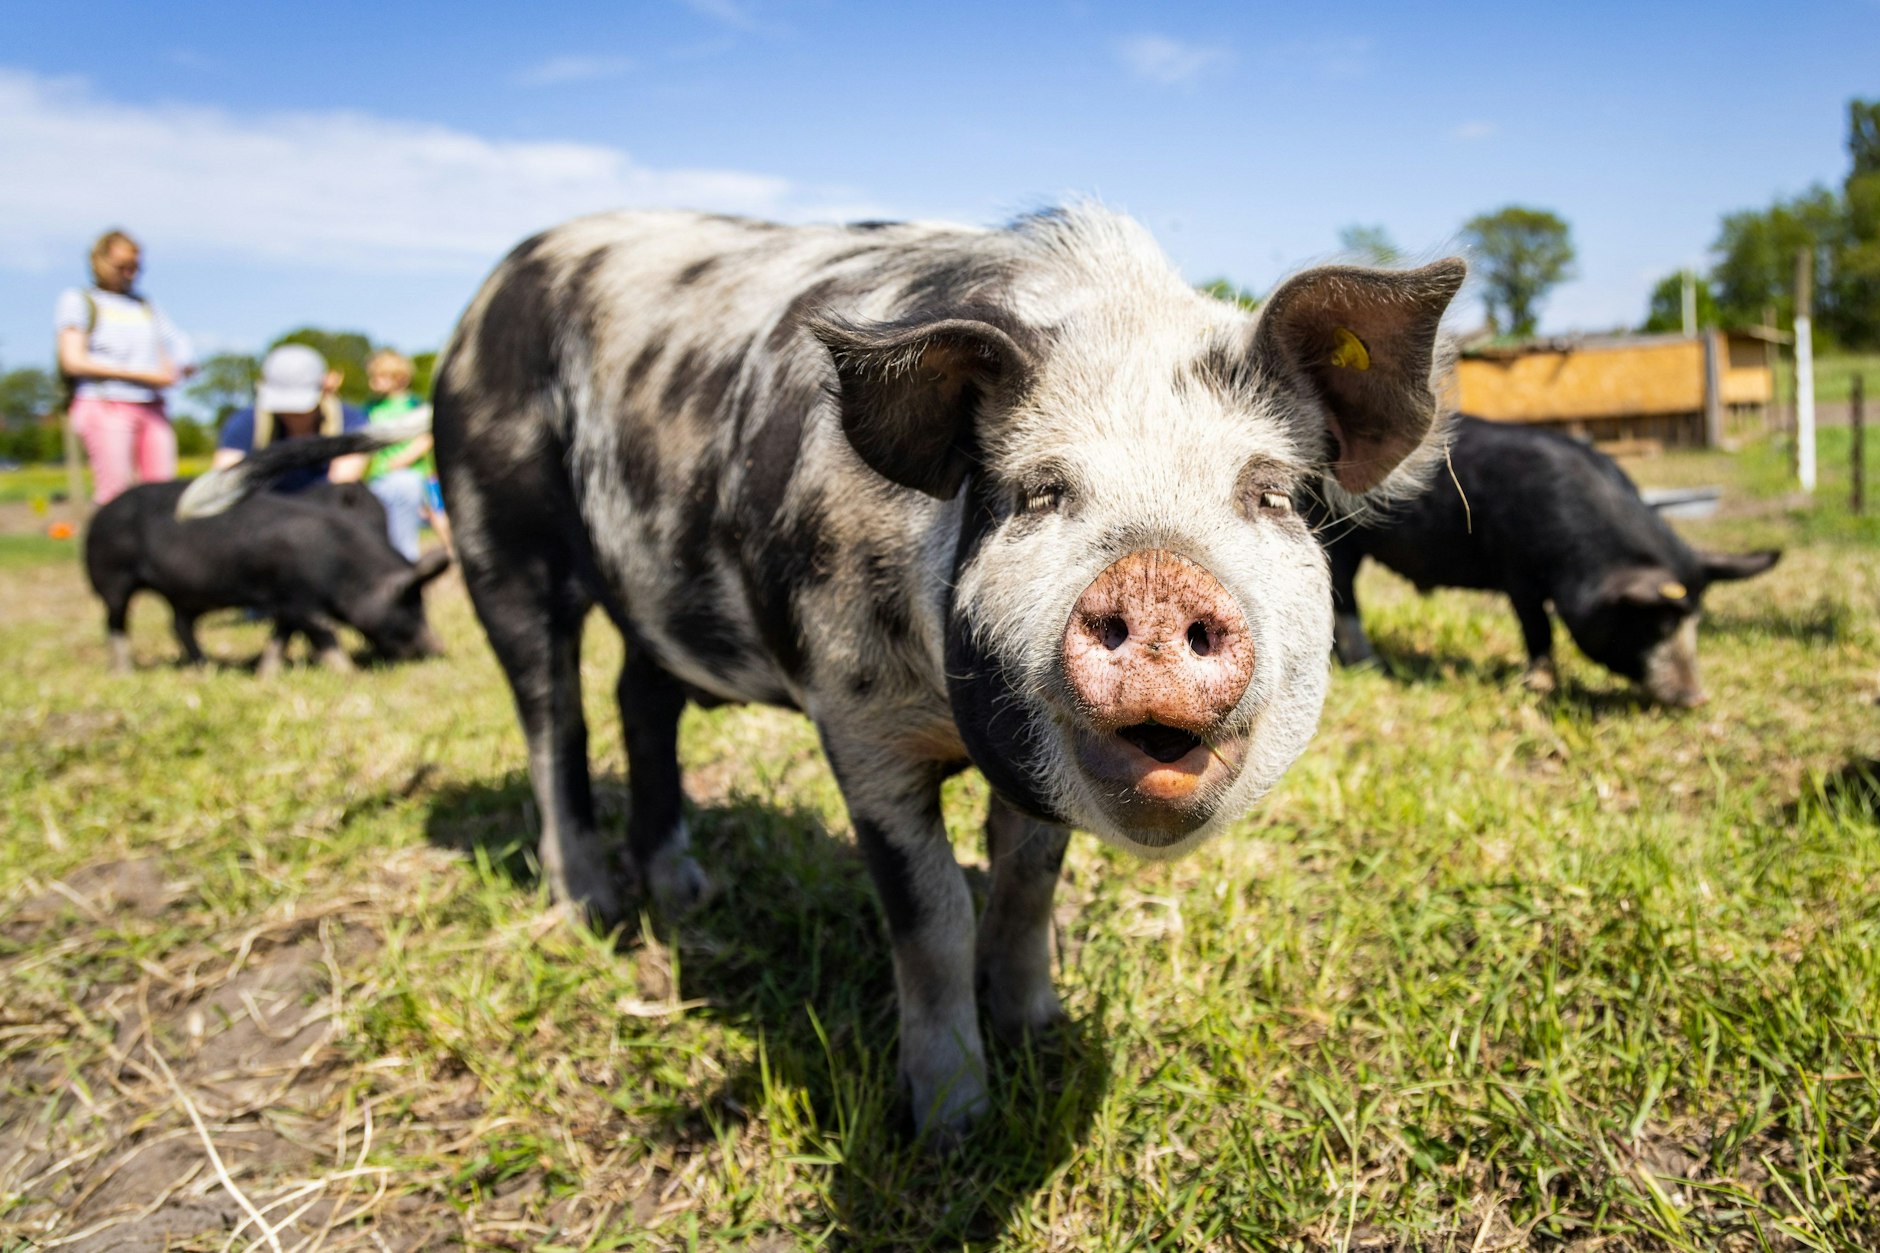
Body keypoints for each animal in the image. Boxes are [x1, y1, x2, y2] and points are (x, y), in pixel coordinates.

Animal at [87, 477, 449, 674]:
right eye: (409, 606)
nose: (437, 648)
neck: (345, 570)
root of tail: (99, 514)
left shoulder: (287, 602)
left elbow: (281, 636)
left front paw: (266, 674)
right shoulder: (302, 600)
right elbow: (324, 634)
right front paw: (350, 675)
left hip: (182, 595)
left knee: (179, 625)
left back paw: (205, 667)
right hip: (112, 579)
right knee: (115, 622)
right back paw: (124, 672)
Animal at [184, 206, 1465, 1136]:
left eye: (1270, 494)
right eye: (1034, 491)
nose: (1155, 580)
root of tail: (466, 324)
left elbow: (1026, 882)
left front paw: (1042, 1035)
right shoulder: (853, 720)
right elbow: (930, 908)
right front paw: (950, 1122)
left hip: (657, 590)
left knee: (638, 700)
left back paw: (686, 893)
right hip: (502, 531)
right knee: (551, 716)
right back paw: (591, 906)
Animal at [1321, 415, 1781, 705]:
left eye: (1696, 623)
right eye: (1658, 624)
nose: (1697, 699)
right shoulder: (1518, 573)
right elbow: (1537, 627)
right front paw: (1539, 686)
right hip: (1335, 537)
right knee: (1344, 597)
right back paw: (1370, 666)